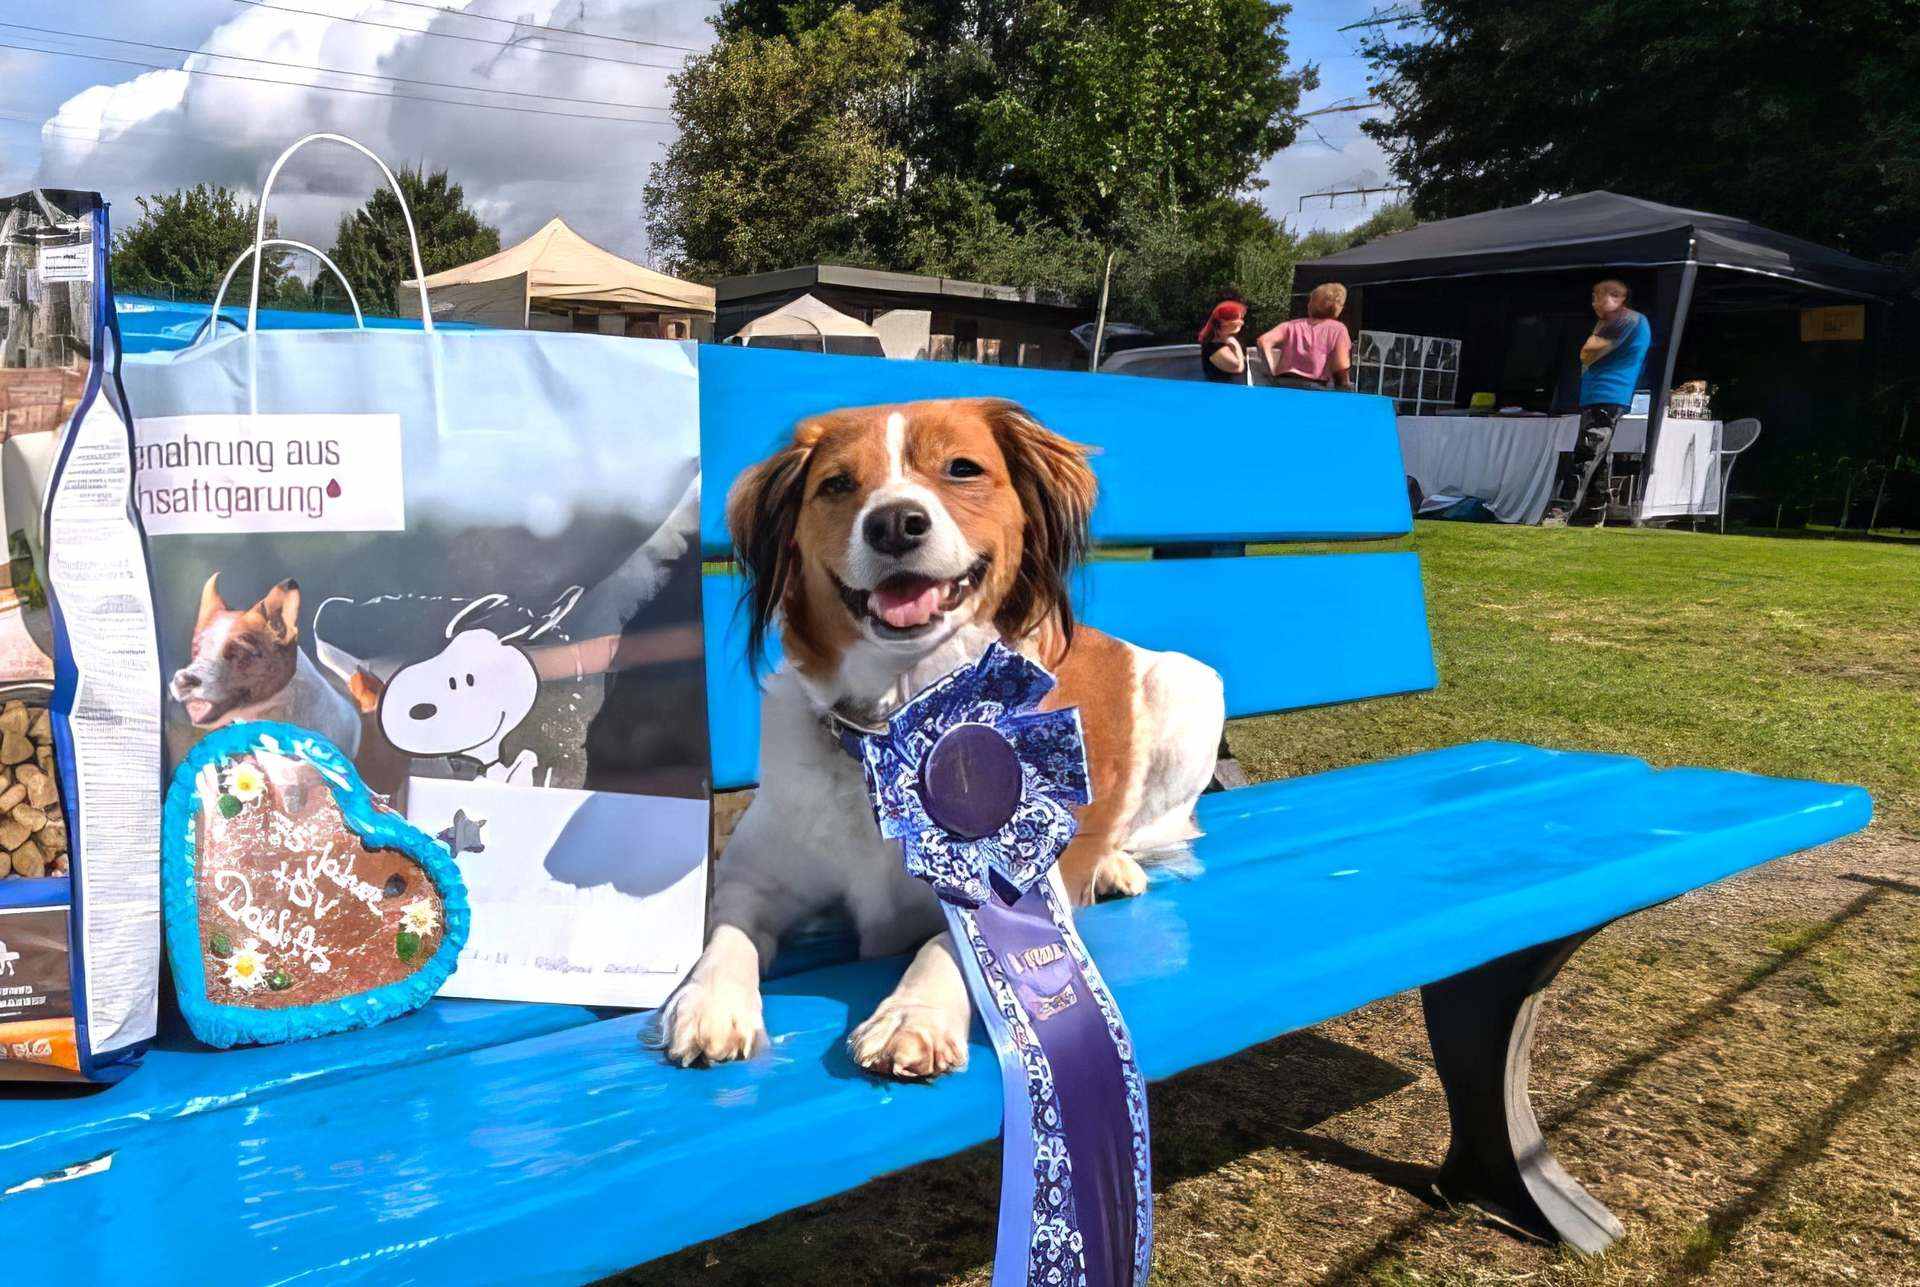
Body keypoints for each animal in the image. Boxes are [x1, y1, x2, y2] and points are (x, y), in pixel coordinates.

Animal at [660, 401, 1221, 1075]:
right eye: (837, 484)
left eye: (962, 468)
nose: (894, 524)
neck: (898, 726)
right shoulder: (751, 878)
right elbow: (730, 934)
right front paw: (710, 1001)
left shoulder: (1020, 885)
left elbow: (948, 944)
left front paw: (913, 1013)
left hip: (1190, 686)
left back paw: (1113, 864)